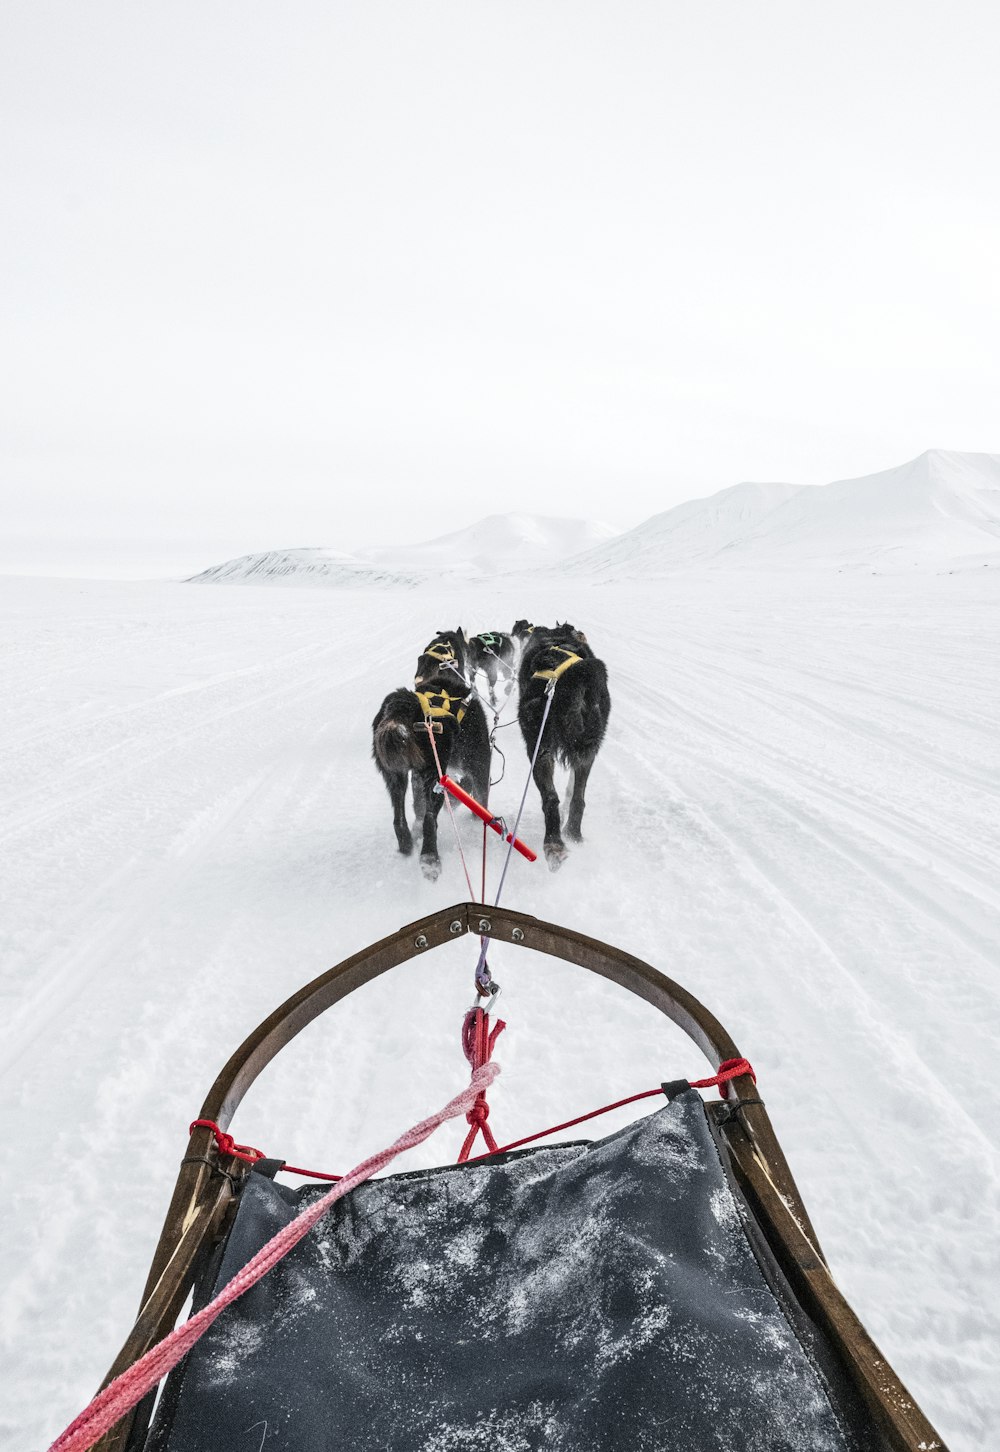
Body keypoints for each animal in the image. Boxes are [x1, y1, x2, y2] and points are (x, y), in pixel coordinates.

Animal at [513, 618, 609, 865]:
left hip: (538, 748)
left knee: (550, 799)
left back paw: (554, 843)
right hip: (585, 748)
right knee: (577, 799)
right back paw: (572, 835)